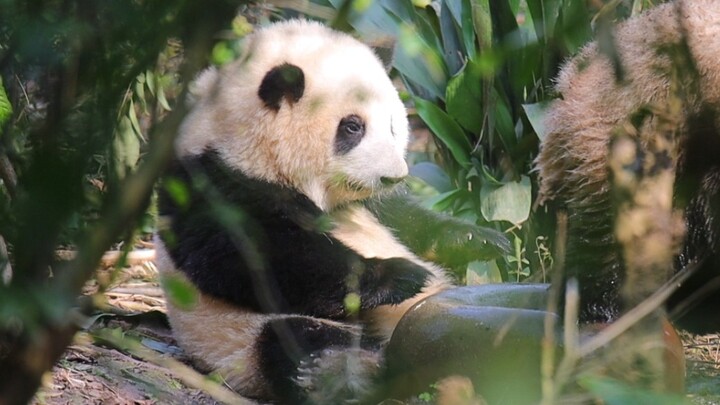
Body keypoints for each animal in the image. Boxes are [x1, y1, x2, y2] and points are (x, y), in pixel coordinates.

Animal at [155, 20, 509, 403]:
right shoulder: (212, 183)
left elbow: (409, 221)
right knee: (294, 337)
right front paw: (400, 275)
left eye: (392, 124)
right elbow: (260, 259)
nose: (394, 176)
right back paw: (340, 373)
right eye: (353, 126)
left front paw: (477, 239)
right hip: (235, 334)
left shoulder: (372, 203)